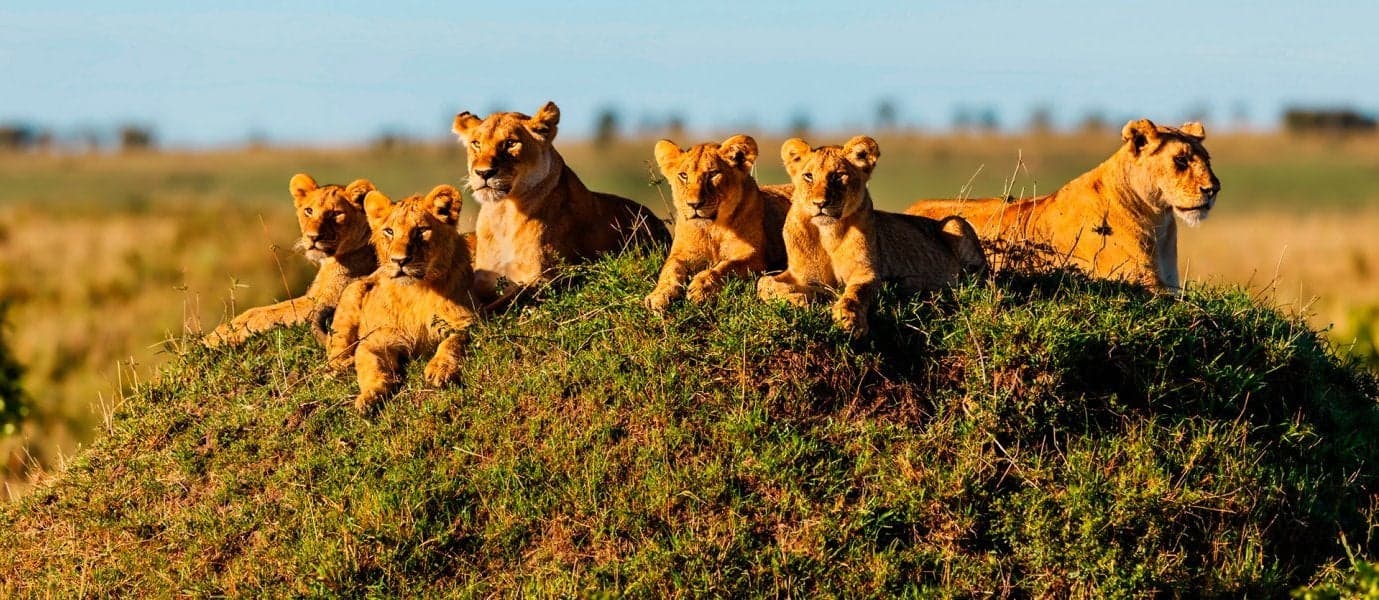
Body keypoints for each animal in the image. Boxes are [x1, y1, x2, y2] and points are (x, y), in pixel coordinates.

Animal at [204, 173, 377, 347]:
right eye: (309, 211)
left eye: (336, 213)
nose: (313, 237)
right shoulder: (313, 296)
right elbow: (259, 309)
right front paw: (221, 331)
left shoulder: (325, 303)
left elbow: (270, 313)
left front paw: (223, 335)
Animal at [325, 185, 478, 412]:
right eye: (389, 231)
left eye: (421, 231)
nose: (400, 260)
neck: (414, 291)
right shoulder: (375, 340)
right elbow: (370, 366)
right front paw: (369, 396)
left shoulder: (466, 322)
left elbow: (452, 343)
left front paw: (440, 369)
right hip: (352, 293)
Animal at [451, 101, 672, 310]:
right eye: (476, 144)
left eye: (510, 143)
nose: (483, 173)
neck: (503, 213)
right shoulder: (483, 279)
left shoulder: (551, 277)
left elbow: (505, 302)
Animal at [644, 134, 792, 311]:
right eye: (683, 175)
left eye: (713, 173)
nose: (694, 204)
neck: (712, 228)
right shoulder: (682, 253)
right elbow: (670, 270)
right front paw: (659, 295)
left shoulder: (754, 255)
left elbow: (725, 267)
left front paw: (701, 288)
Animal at [757, 136, 987, 337]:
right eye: (808, 176)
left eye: (838, 176)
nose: (820, 203)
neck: (827, 234)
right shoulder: (800, 274)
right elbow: (764, 283)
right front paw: (802, 299)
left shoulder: (867, 272)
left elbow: (856, 293)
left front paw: (849, 319)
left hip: (955, 222)